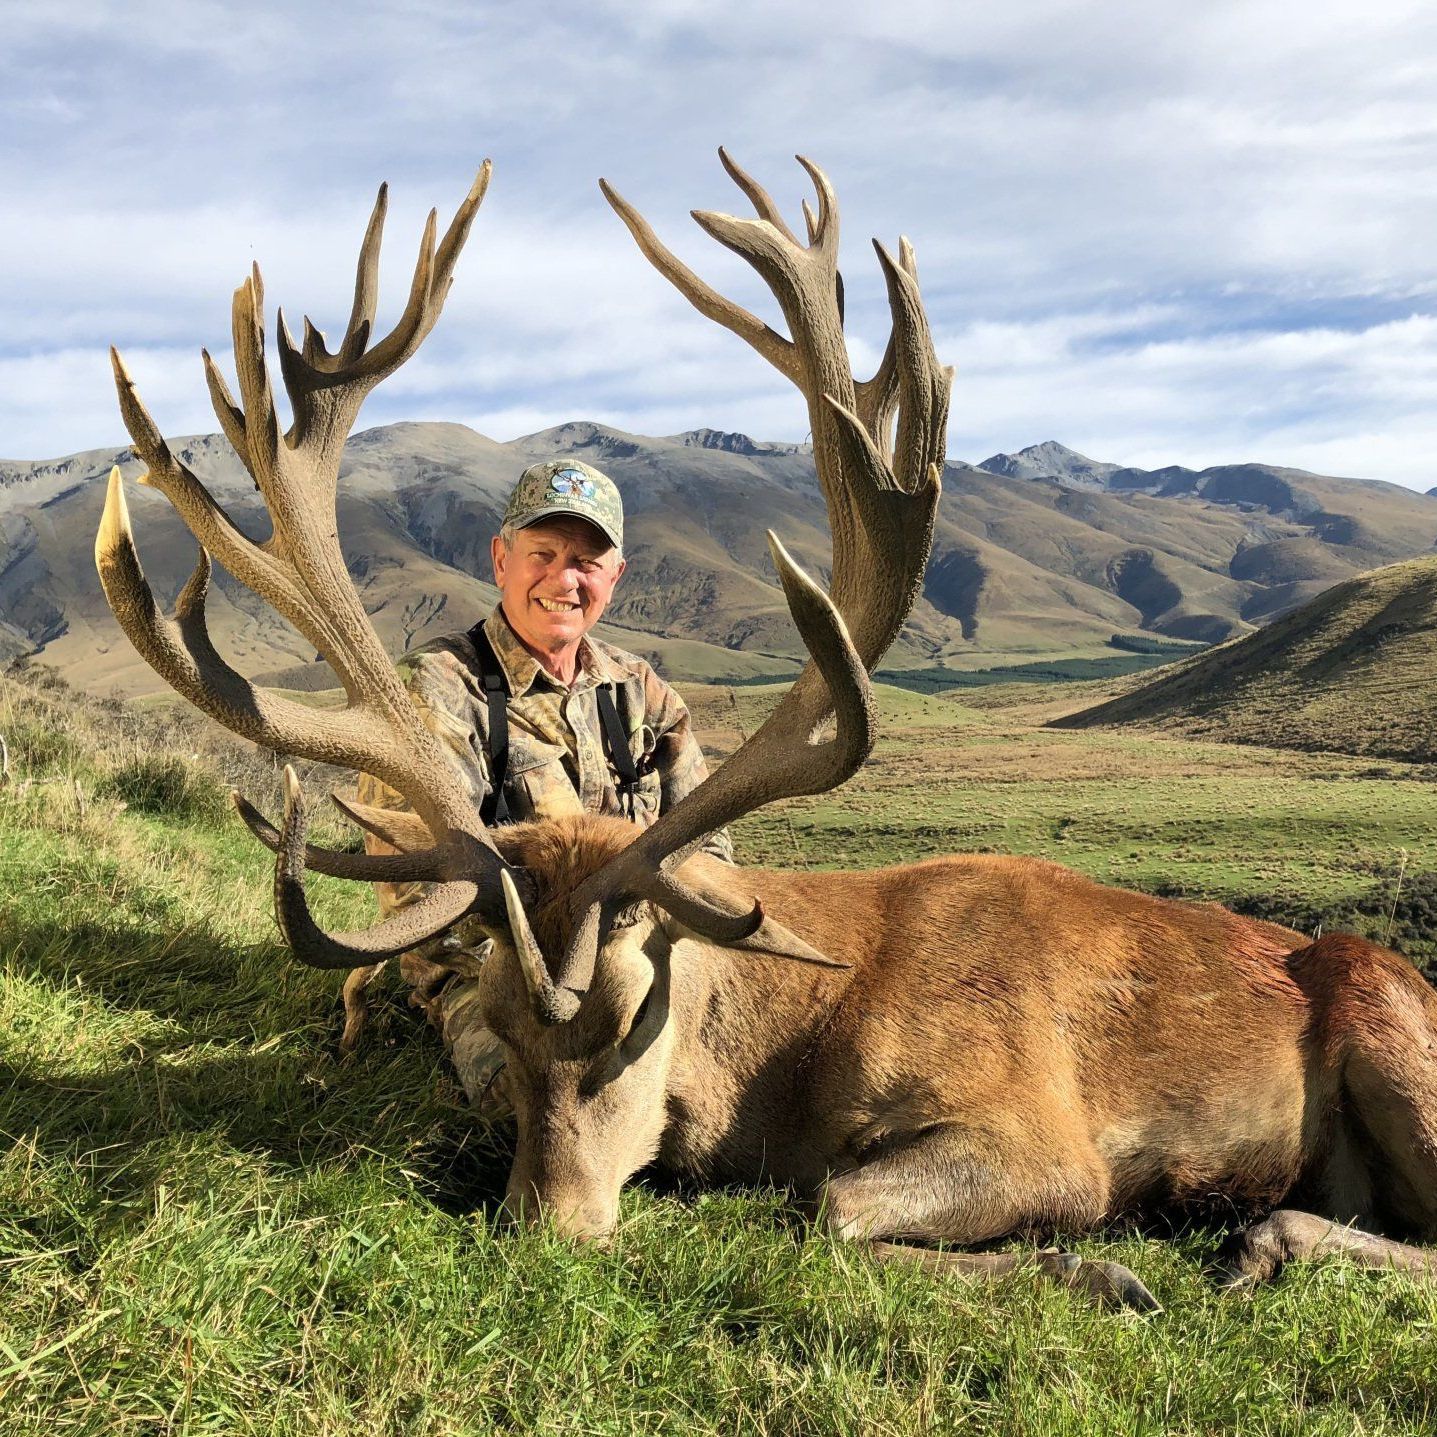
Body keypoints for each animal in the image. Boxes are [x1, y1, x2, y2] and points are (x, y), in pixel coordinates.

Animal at [95, 154, 1437, 1313]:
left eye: (628, 1031)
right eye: (505, 1040)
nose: (547, 1231)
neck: (793, 1056)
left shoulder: (1044, 1136)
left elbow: (830, 1210)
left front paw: (1103, 1268)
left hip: (1395, 1034)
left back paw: (1259, 1239)